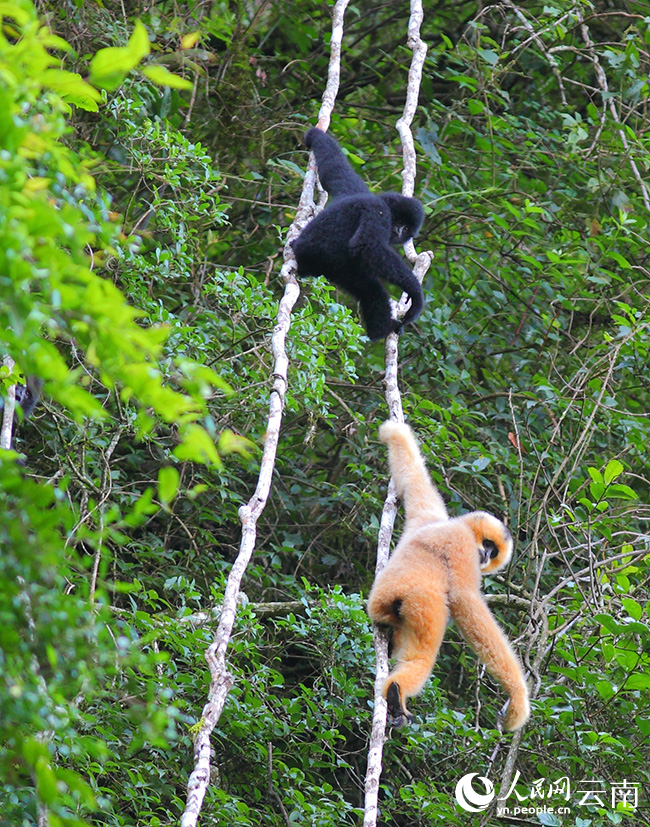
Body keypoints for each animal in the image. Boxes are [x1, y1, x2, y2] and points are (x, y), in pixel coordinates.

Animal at [291, 128, 425, 341]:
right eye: (399, 224)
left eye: (405, 228)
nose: (398, 231)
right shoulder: (379, 211)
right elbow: (366, 246)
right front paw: (416, 294)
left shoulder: (353, 188)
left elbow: (334, 168)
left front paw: (314, 135)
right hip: (332, 264)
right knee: (371, 290)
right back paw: (381, 331)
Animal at [367, 421, 530, 732]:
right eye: (488, 545)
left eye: (493, 552)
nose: (486, 556)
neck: (452, 525)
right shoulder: (463, 543)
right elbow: (465, 600)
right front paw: (517, 694)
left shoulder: (429, 515)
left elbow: (413, 479)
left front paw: (393, 432)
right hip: (423, 604)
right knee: (422, 654)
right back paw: (395, 692)